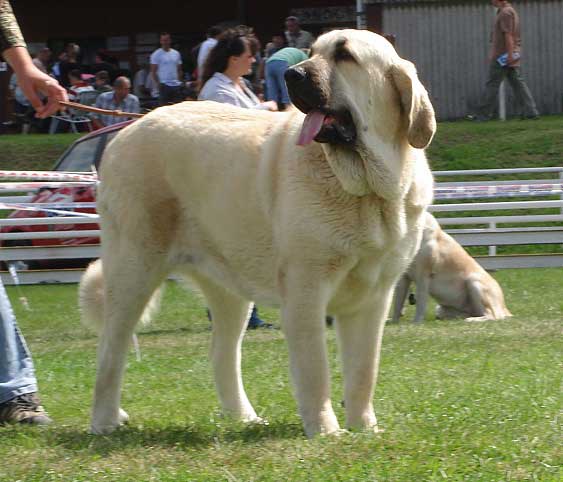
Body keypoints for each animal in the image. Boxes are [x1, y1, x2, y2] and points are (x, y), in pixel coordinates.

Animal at [79, 29, 436, 436]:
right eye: (313, 52)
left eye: (345, 56)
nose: (292, 75)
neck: (366, 191)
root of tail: (122, 135)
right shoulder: (306, 290)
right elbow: (315, 370)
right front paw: (326, 431)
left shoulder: (373, 298)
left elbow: (363, 371)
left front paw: (364, 427)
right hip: (133, 271)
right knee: (111, 350)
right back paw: (105, 421)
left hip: (227, 288)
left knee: (221, 351)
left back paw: (244, 416)